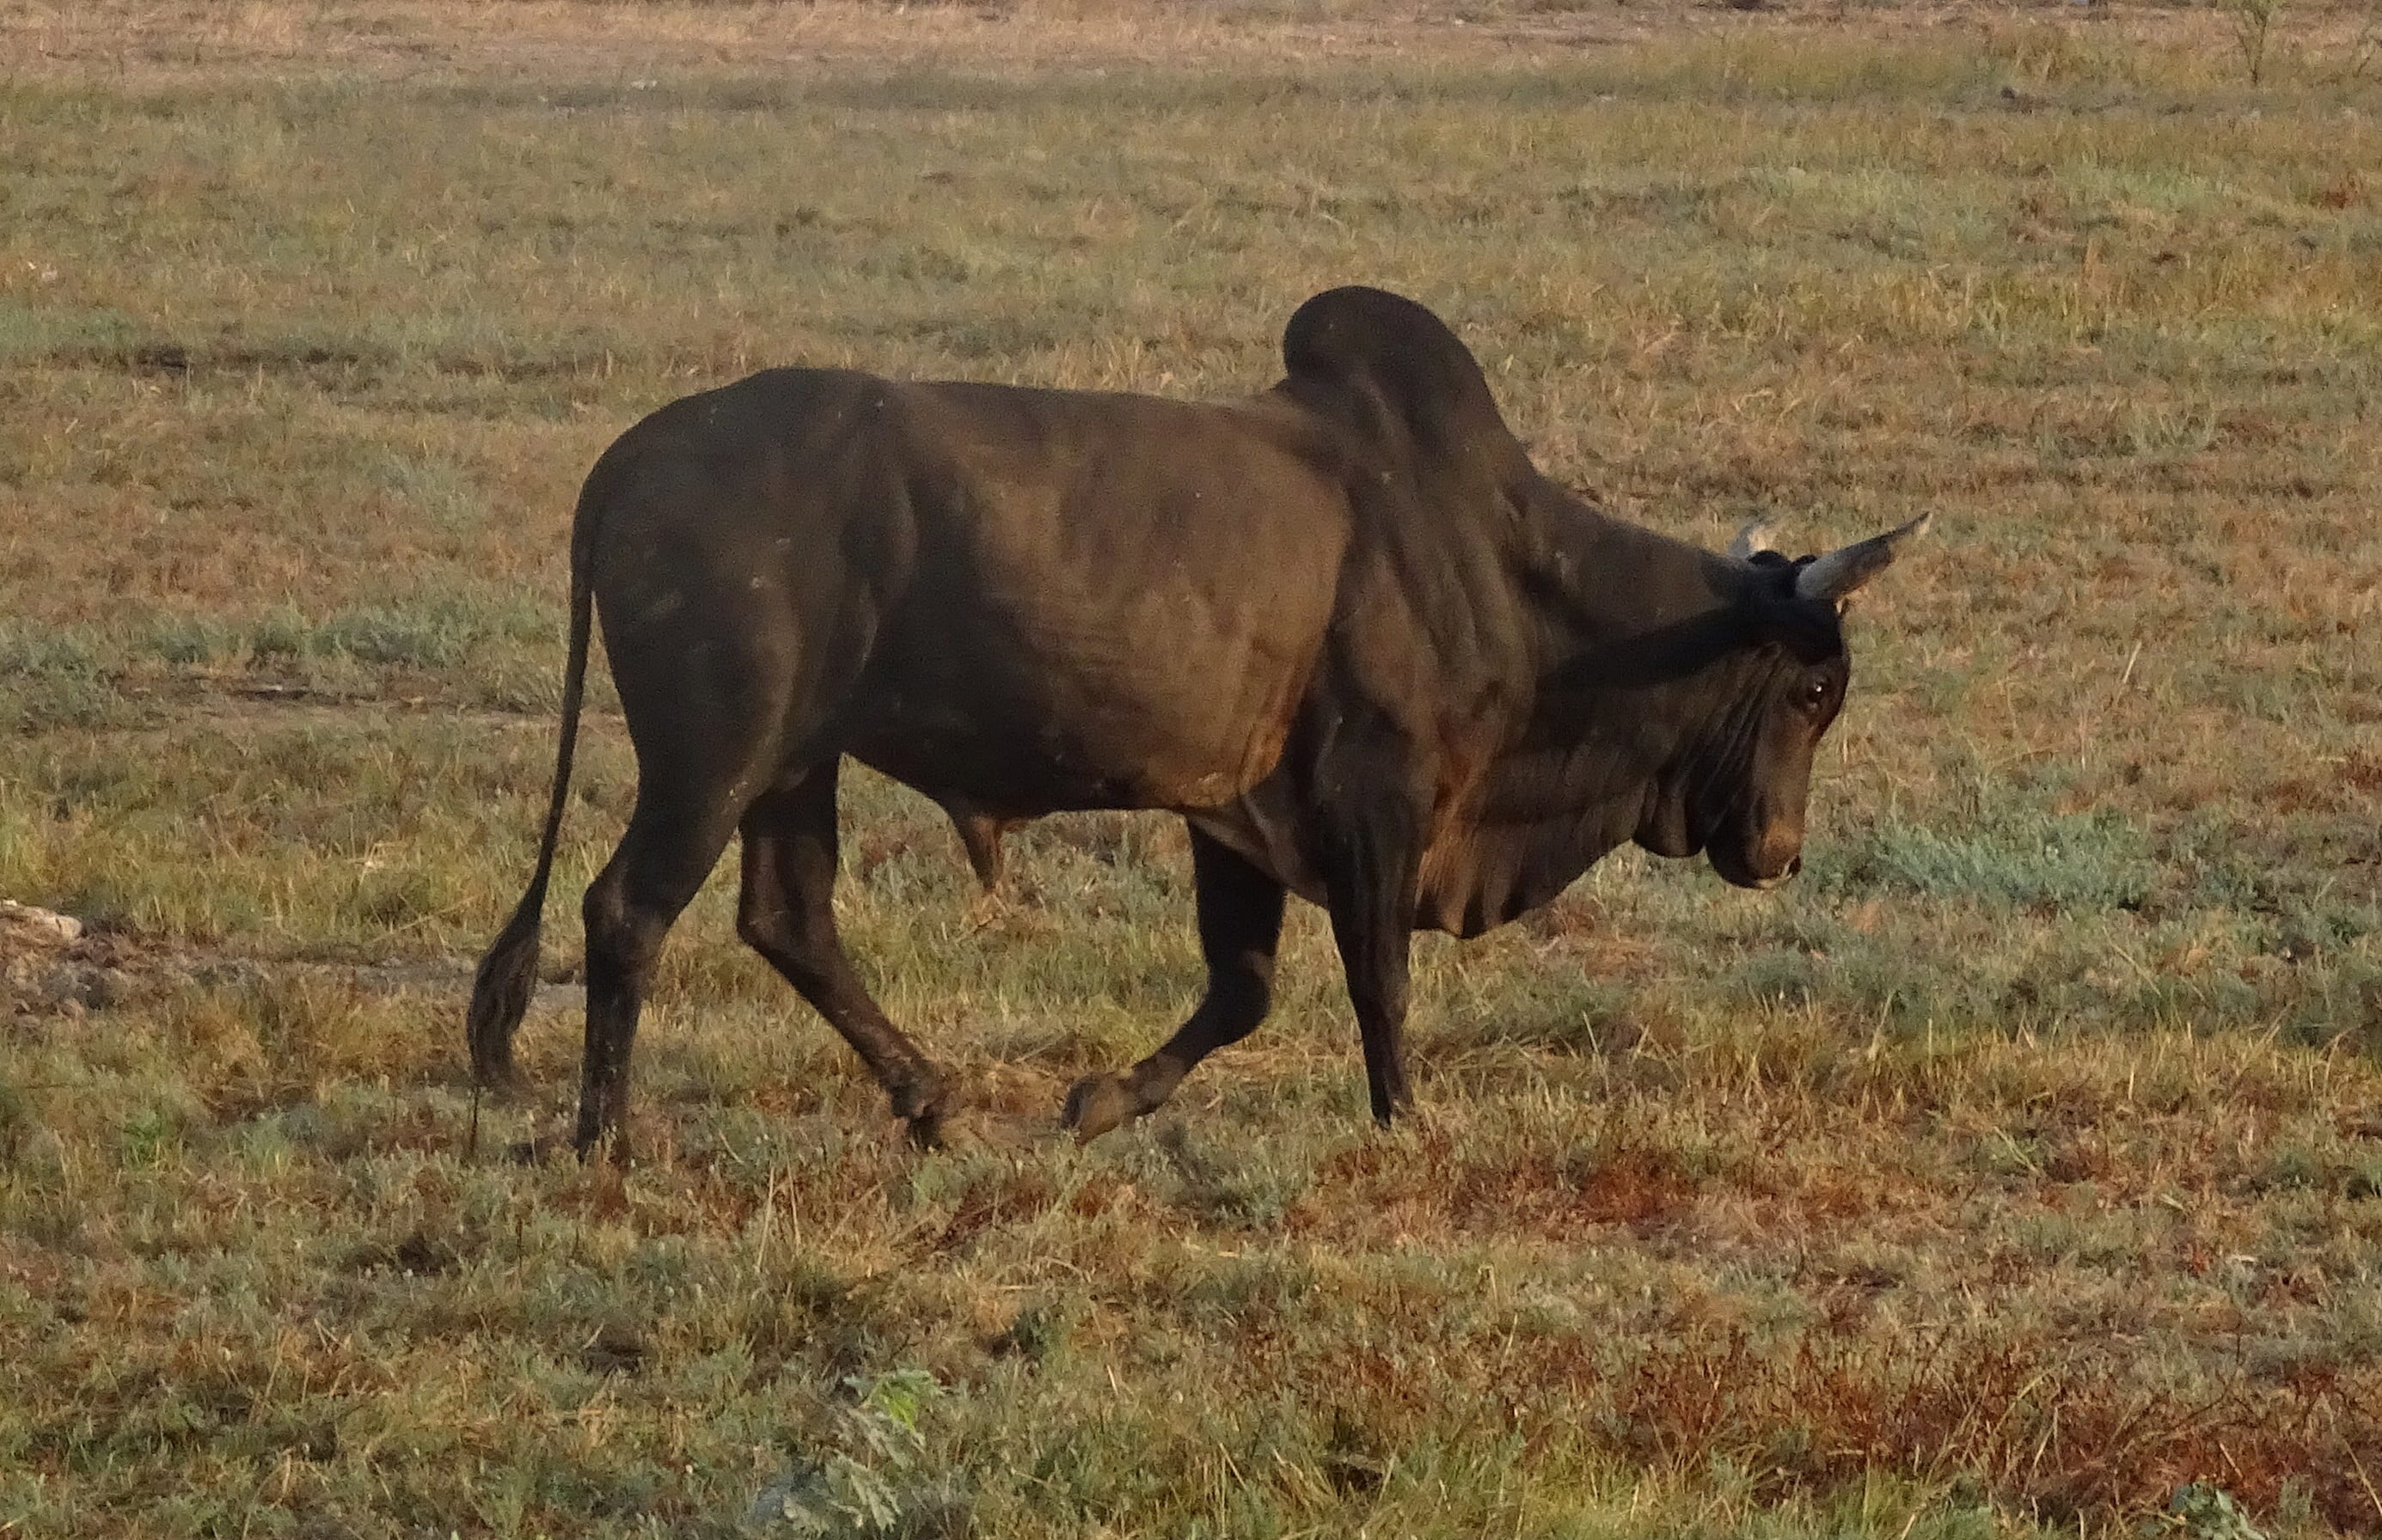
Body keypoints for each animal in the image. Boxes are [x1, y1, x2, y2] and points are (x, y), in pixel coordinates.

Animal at [465, 286, 1926, 1158]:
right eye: (1811, 692)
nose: (1778, 852)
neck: (1505, 569)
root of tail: (627, 464)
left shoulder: (1234, 817)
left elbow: (1242, 988)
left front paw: (1097, 1101)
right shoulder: (1374, 799)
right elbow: (1375, 978)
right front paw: (1403, 1122)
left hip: (791, 760)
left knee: (785, 917)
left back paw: (929, 1099)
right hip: (714, 755)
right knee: (627, 912)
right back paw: (604, 1138)